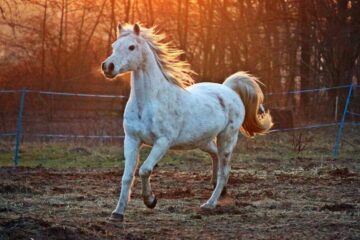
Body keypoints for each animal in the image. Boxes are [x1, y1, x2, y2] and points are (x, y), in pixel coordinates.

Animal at [102, 23, 272, 220]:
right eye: (114, 46)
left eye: (131, 47)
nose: (107, 66)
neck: (149, 102)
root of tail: (229, 89)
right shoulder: (131, 139)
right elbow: (127, 176)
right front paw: (118, 213)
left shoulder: (163, 142)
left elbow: (145, 169)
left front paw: (150, 200)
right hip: (203, 141)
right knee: (216, 157)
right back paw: (219, 191)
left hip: (227, 138)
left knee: (225, 170)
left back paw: (209, 204)